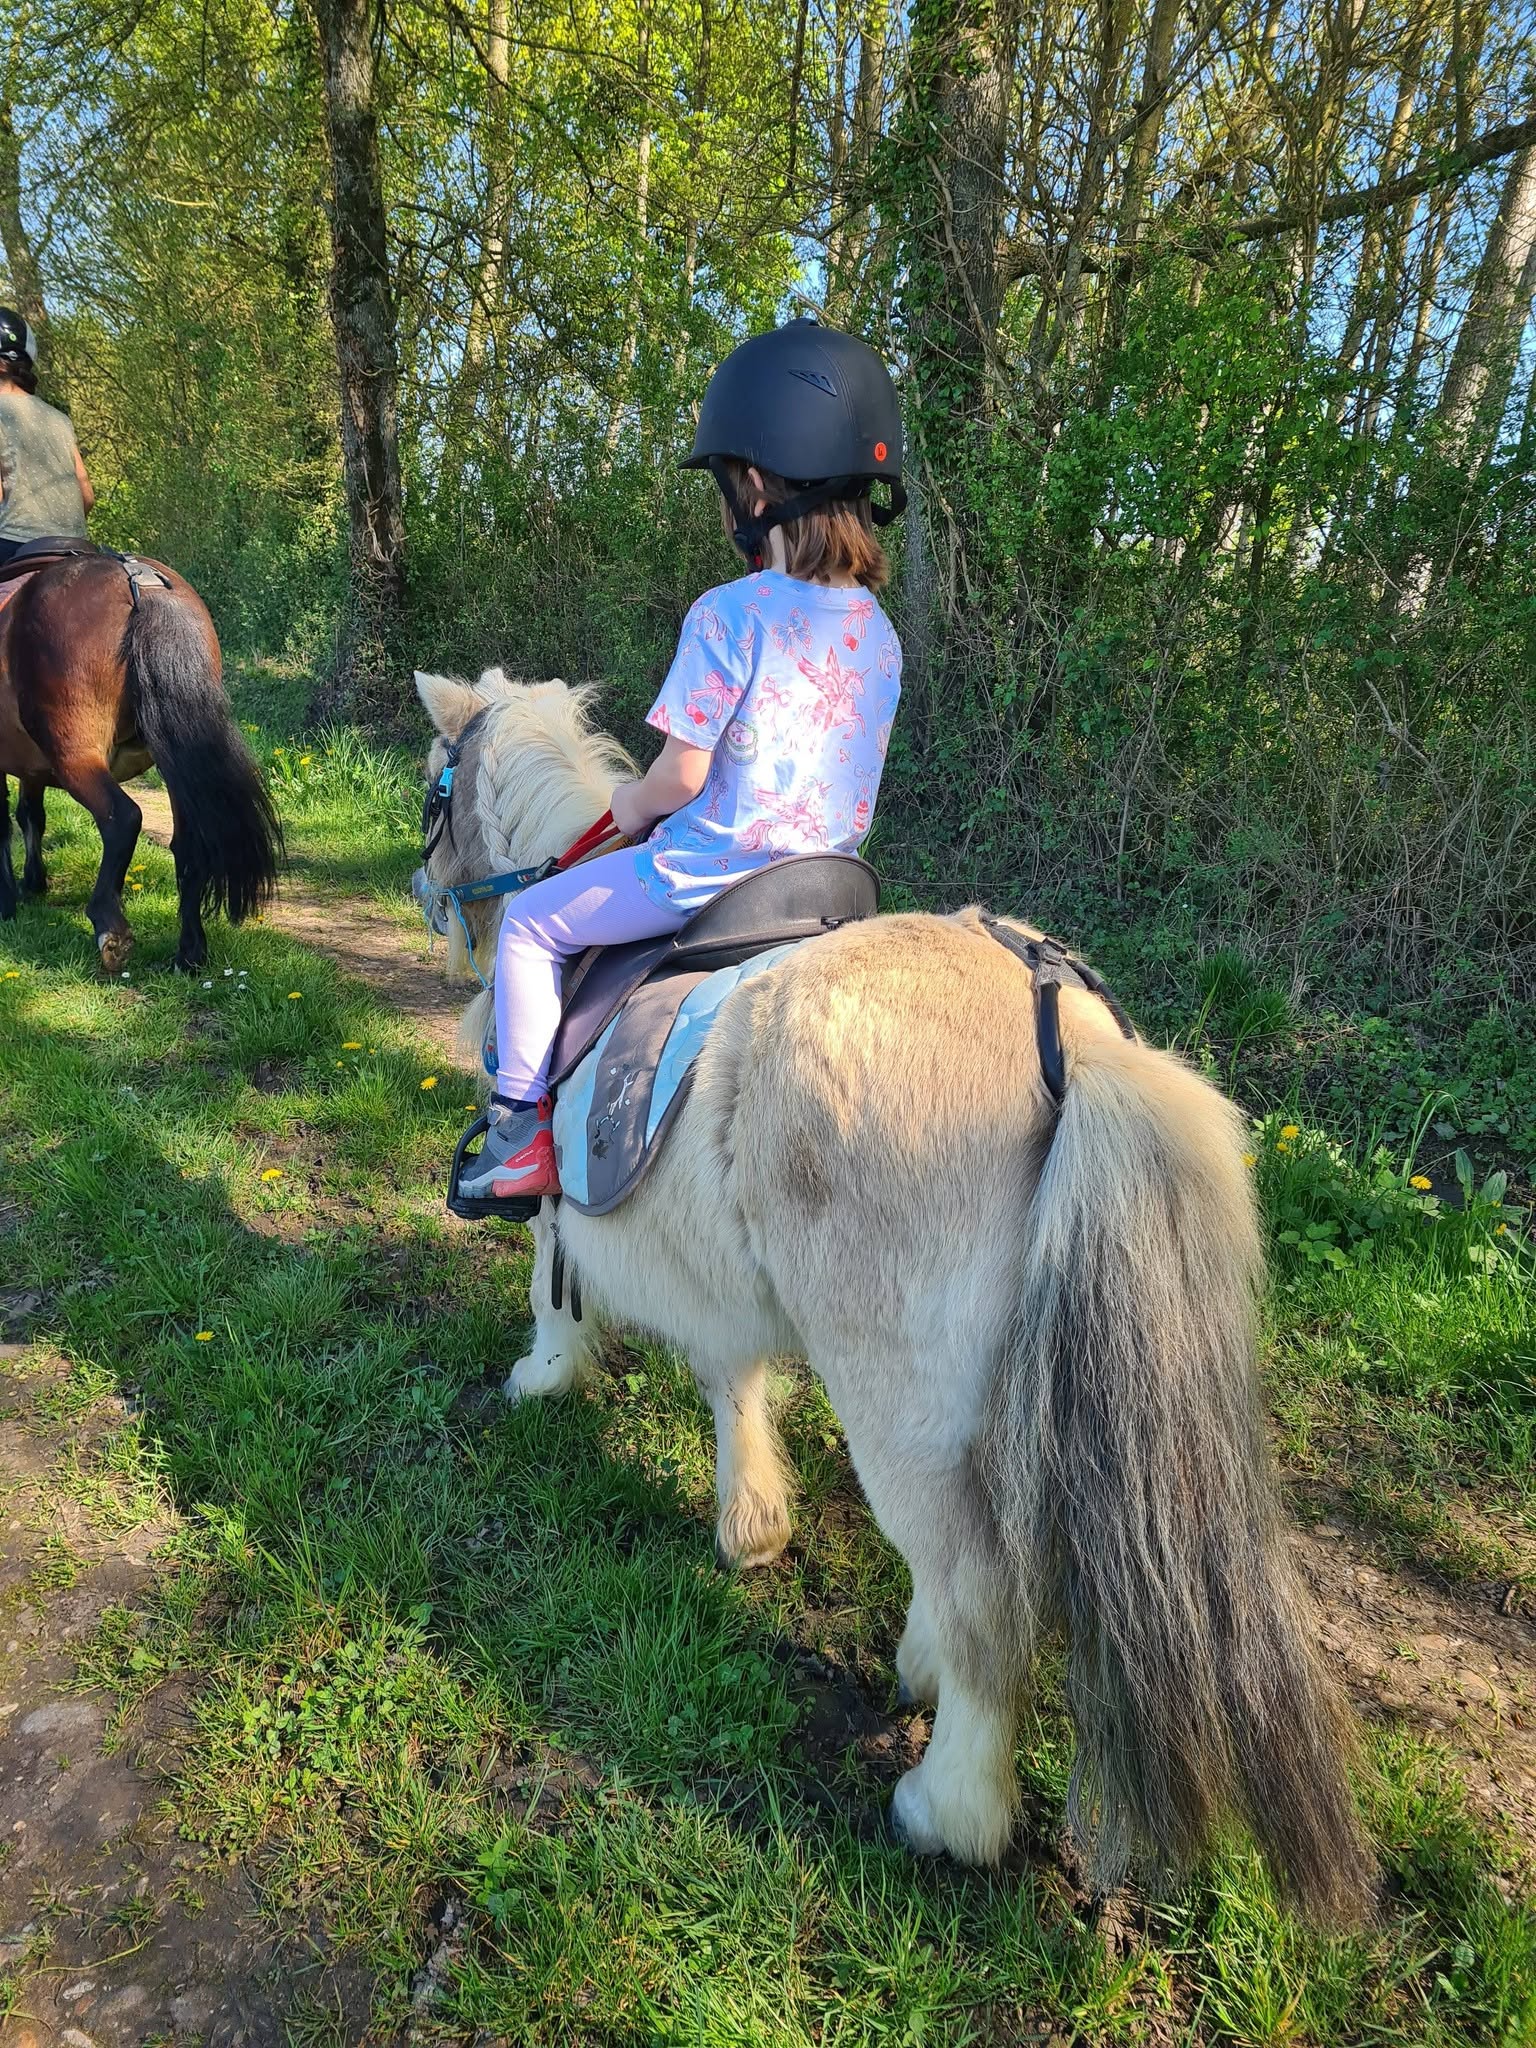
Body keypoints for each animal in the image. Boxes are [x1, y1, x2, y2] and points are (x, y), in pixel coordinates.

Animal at [0, 551, 281, 972]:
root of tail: (138, 579)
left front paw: (8, 900)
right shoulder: (28, 767)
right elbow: (30, 814)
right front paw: (32, 883)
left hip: (75, 753)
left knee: (122, 818)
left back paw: (109, 926)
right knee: (187, 844)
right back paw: (189, 952)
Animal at [412, 664, 1376, 1925]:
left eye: (437, 783)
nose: (426, 889)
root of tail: (1066, 1029)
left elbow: (557, 1280)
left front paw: (545, 1376)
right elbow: (732, 1374)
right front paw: (753, 1518)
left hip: (901, 1399)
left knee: (981, 1596)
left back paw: (944, 1806)